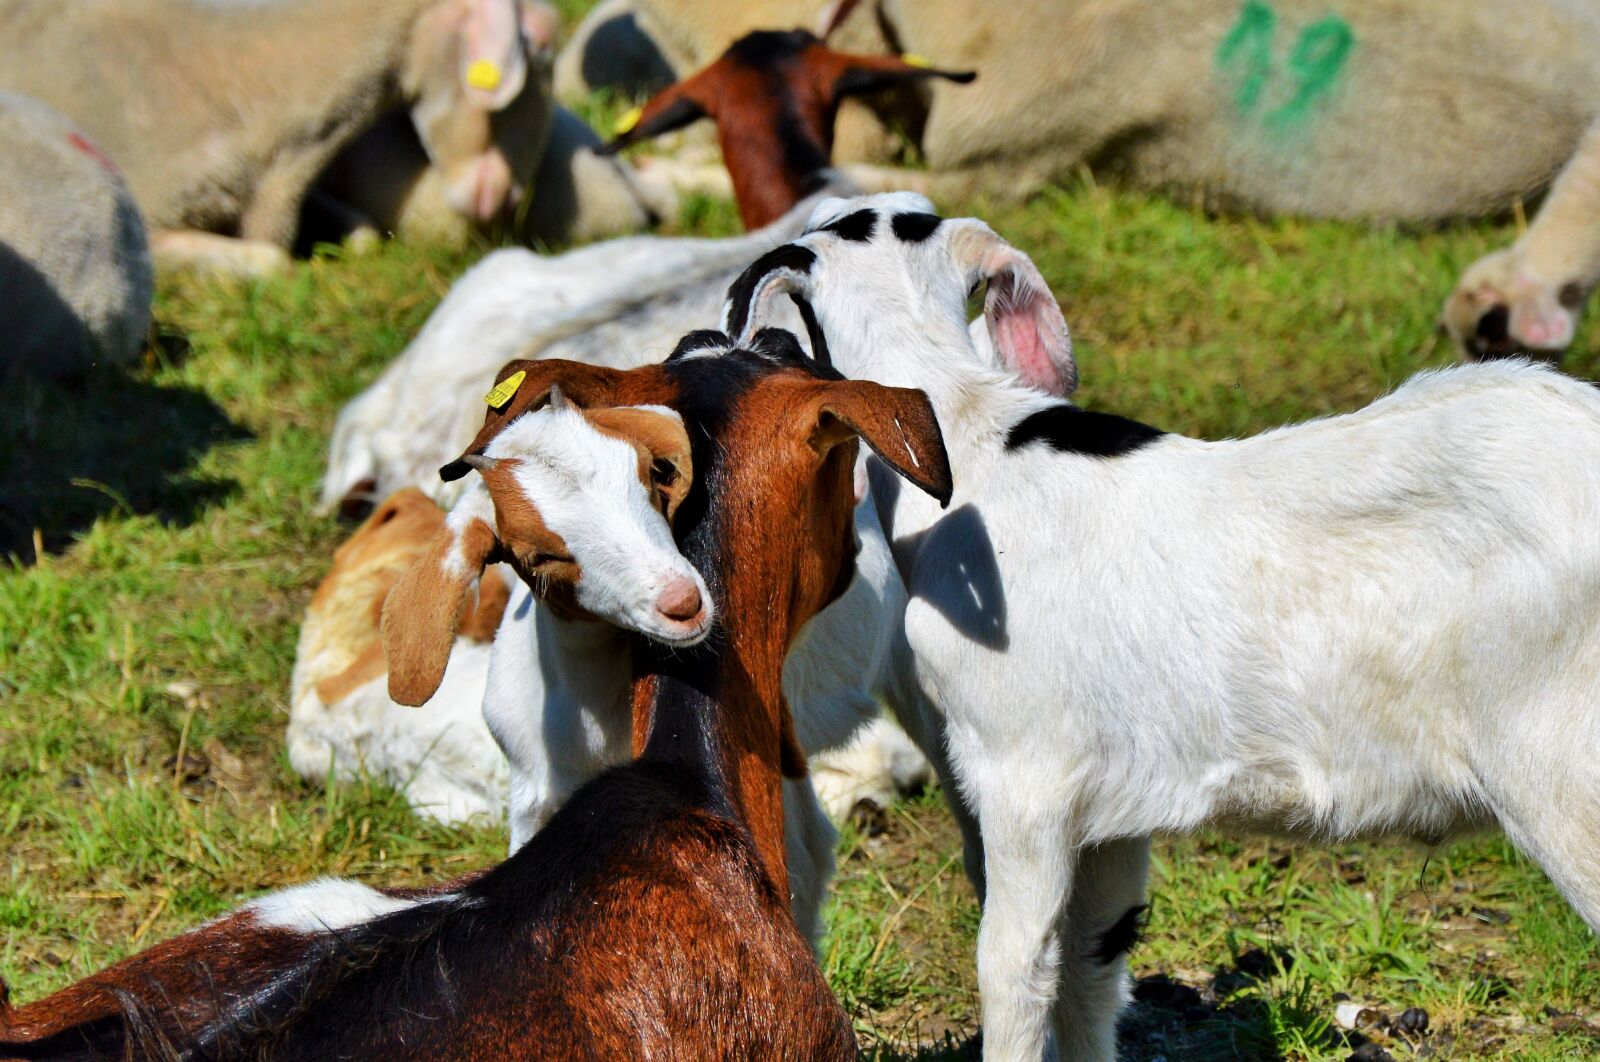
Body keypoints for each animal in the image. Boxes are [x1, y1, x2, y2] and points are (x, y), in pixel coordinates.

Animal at [727, 191, 1600, 1060]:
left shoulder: (1022, 776)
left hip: (1560, 771)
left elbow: (1014, 967)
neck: (968, 439)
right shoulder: (1108, 812)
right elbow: (1089, 967)